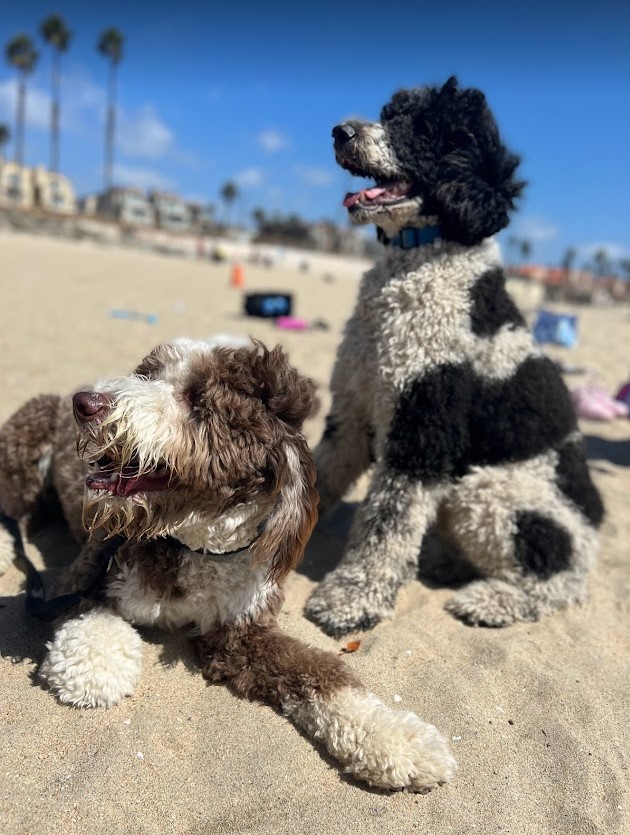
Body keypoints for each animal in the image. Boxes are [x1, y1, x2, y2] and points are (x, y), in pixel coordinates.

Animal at [0, 338, 456, 792]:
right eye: (147, 374)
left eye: (197, 400)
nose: (86, 403)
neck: (196, 547)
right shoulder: (88, 570)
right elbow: (91, 615)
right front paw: (95, 666)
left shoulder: (242, 632)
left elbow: (323, 672)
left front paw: (399, 740)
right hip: (23, 455)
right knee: (13, 508)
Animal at [308, 80, 604, 640]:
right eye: (388, 113)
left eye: (424, 129)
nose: (340, 131)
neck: (419, 257)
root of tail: (595, 528)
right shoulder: (352, 410)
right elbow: (319, 476)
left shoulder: (424, 424)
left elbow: (388, 520)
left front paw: (352, 598)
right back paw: (443, 563)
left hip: (493, 494)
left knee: (559, 582)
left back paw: (495, 600)